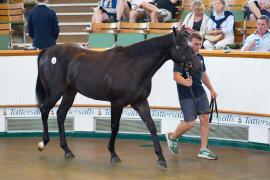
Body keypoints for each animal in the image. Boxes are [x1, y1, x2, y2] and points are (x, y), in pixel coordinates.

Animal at [35, 27, 200, 167]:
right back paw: (43, 143)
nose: (198, 66)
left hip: (70, 93)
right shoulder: (117, 103)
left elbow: (152, 126)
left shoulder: (140, 102)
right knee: (44, 110)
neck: (133, 67)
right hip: (55, 92)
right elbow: (115, 126)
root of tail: (47, 52)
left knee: (60, 114)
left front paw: (161, 158)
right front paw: (113, 154)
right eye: (184, 46)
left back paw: (67, 150)